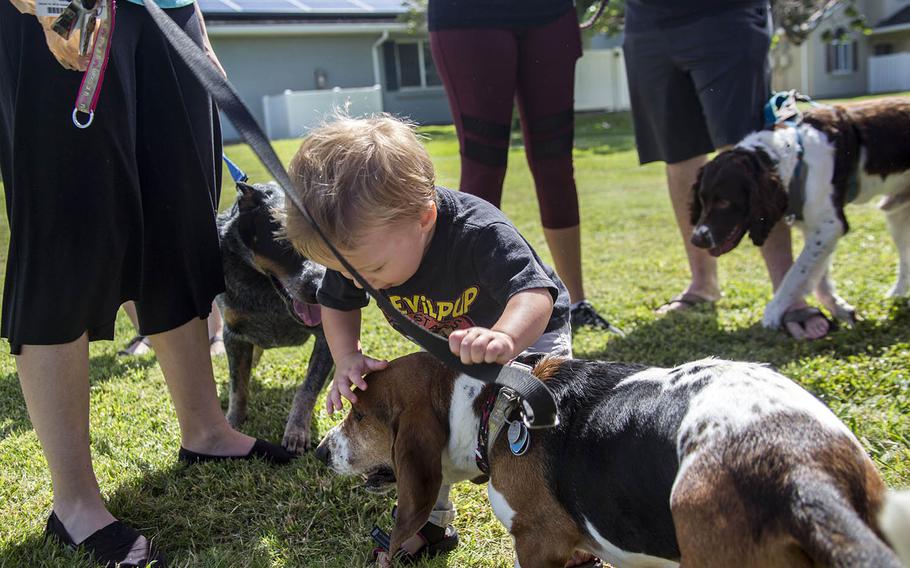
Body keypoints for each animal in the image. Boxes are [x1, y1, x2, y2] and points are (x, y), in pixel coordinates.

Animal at [692, 97, 910, 328]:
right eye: (702, 199)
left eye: (724, 202)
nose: (696, 240)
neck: (793, 157)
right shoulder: (815, 228)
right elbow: (817, 275)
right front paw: (839, 308)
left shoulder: (829, 225)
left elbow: (797, 272)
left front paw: (774, 310)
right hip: (898, 215)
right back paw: (897, 294)